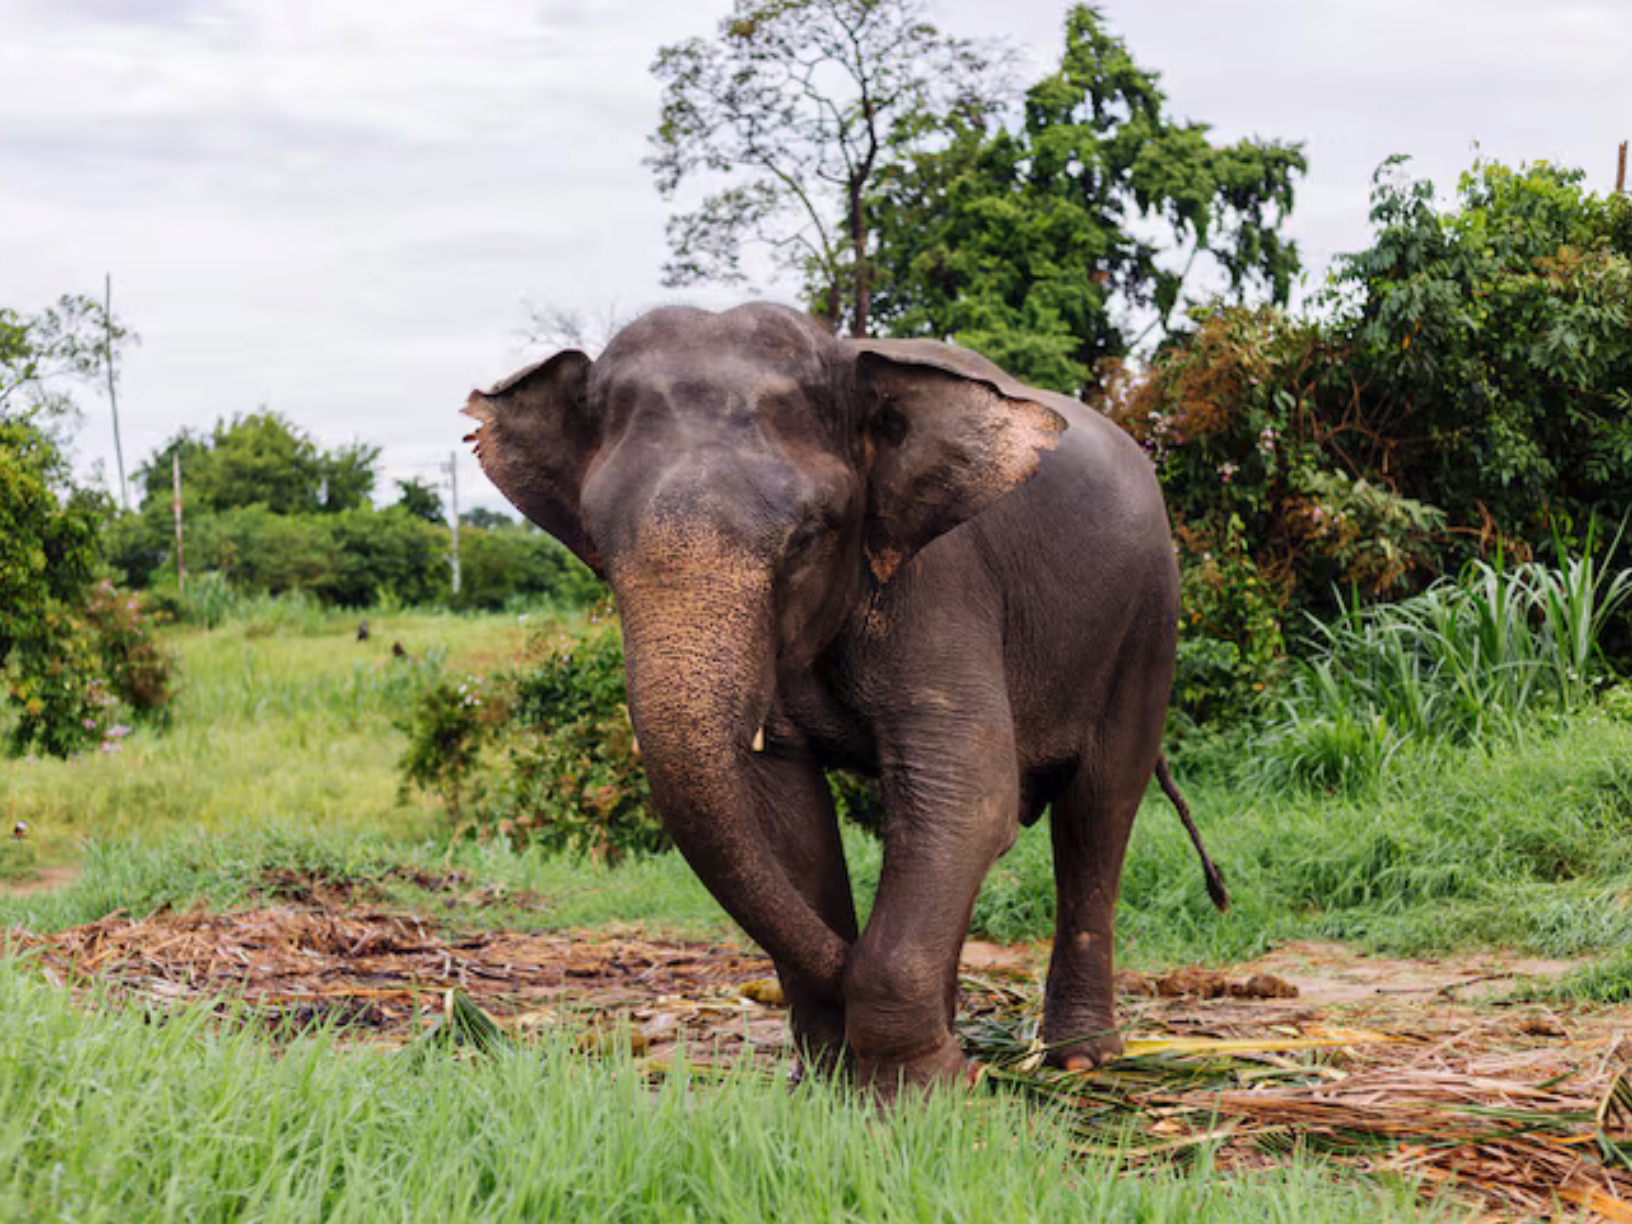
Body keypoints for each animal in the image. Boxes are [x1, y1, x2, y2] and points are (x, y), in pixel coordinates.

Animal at [463, 301, 1226, 1092]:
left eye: (806, 538)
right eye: (600, 545)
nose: (972, 1067)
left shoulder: (940, 580)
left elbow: (970, 794)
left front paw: (928, 1090)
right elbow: (784, 811)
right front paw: (836, 1082)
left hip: (1148, 620)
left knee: (1099, 807)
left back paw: (1079, 1058)